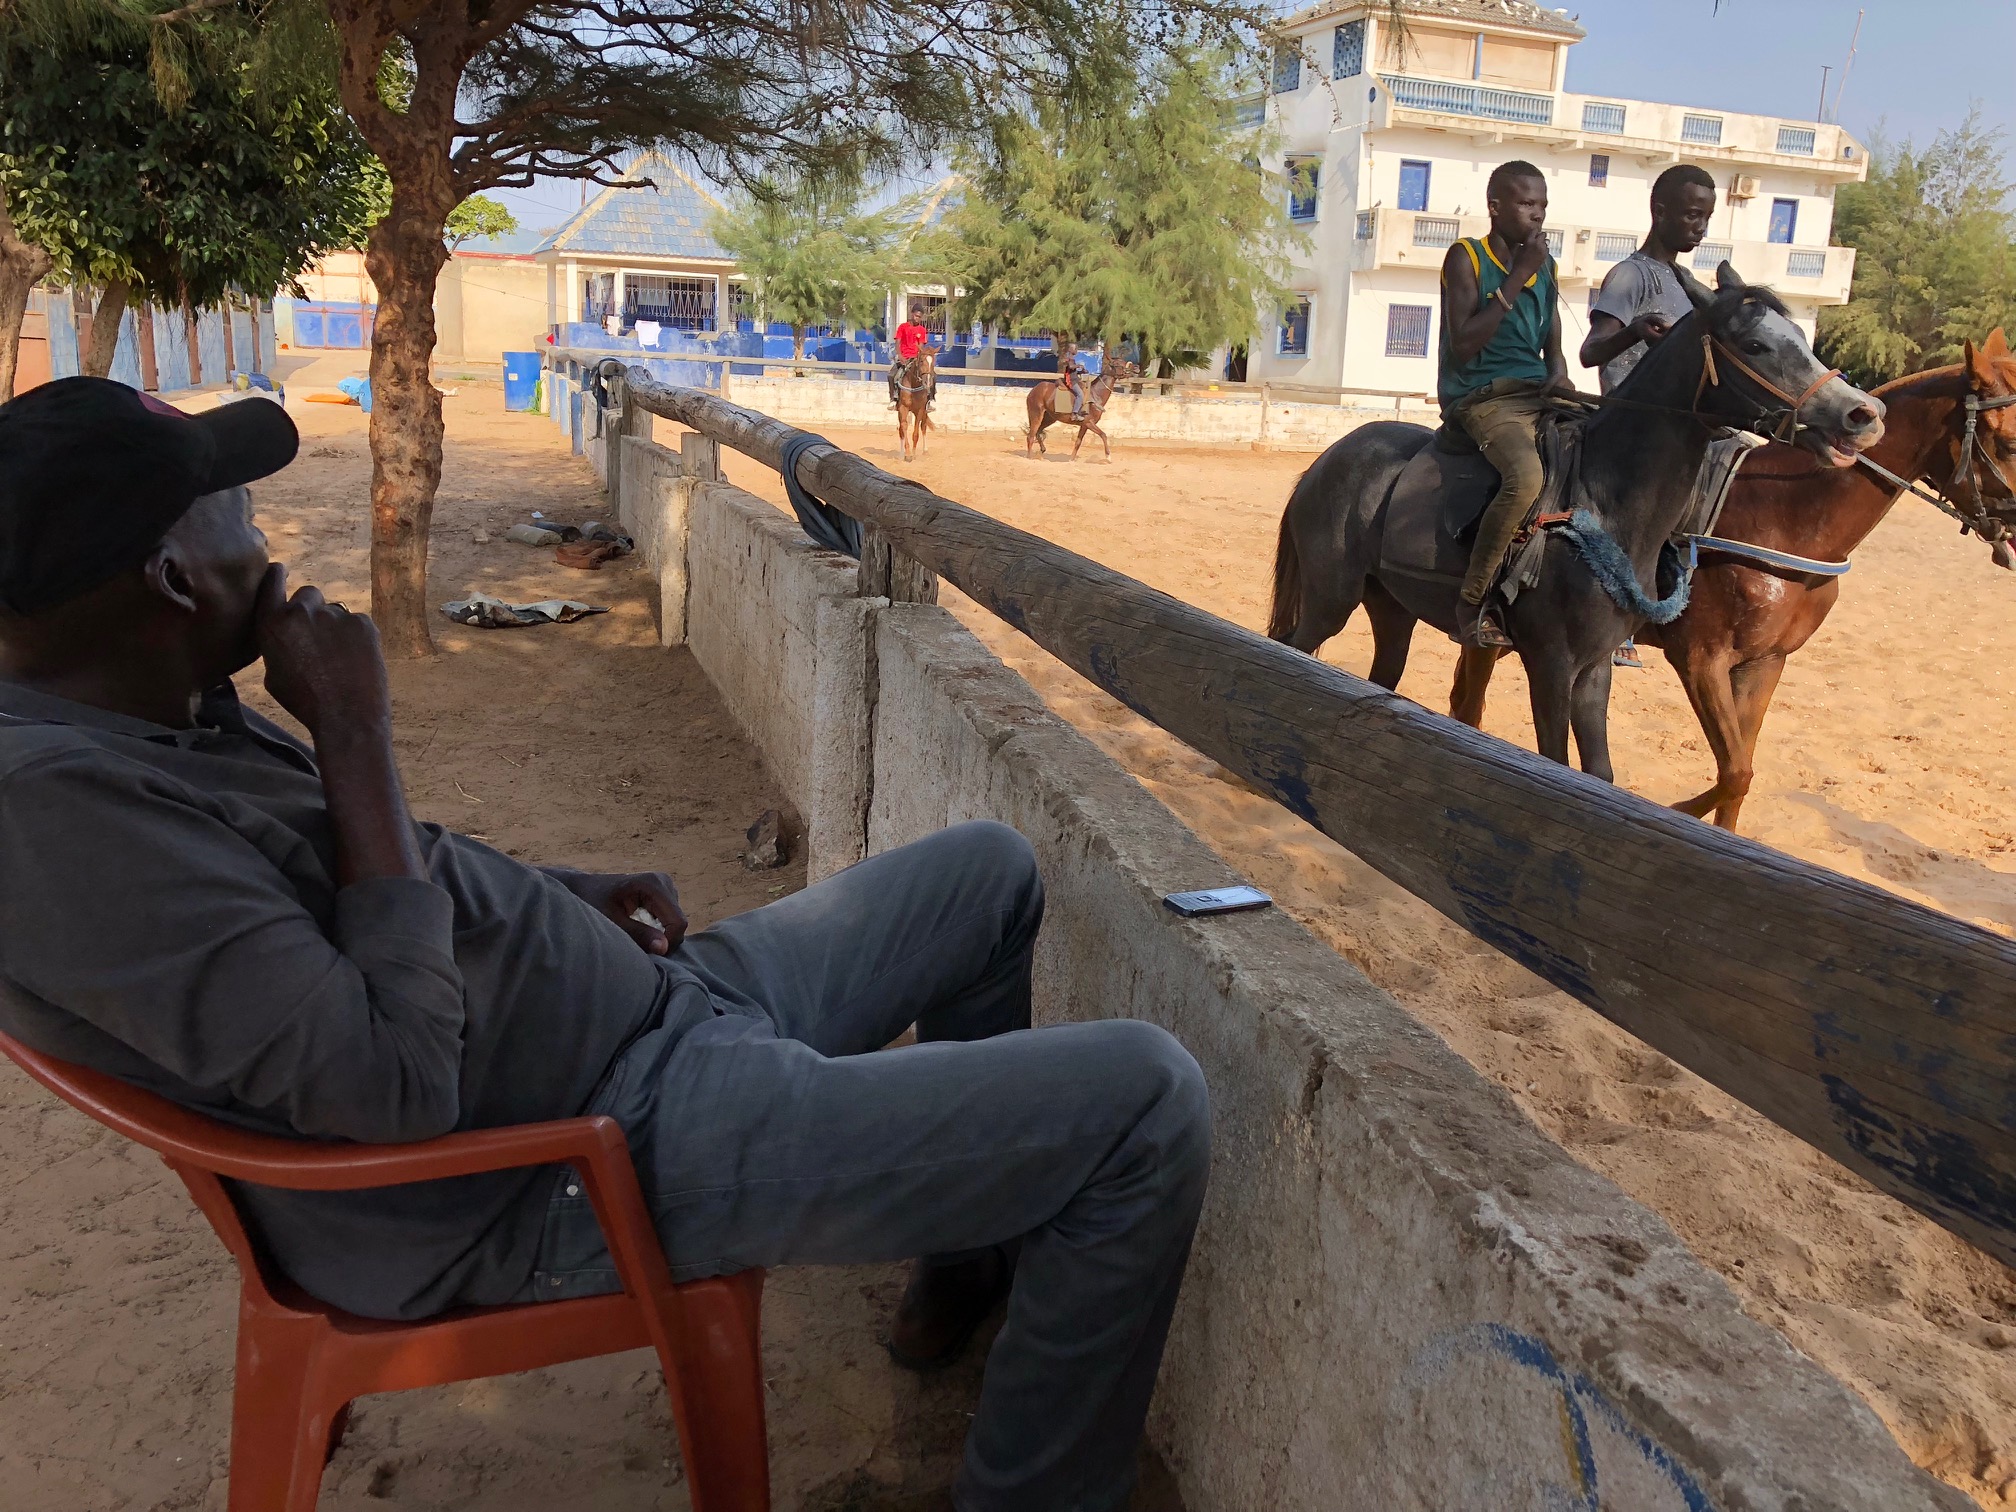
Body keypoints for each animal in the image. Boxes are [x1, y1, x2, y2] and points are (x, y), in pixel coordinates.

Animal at [1266, 264, 1878, 782]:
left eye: (1802, 337)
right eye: (1754, 344)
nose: (1862, 414)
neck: (1605, 501)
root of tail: (1326, 461)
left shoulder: (1595, 667)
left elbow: (1598, 774)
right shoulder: (1552, 664)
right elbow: (1556, 761)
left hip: (1391, 607)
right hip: (1331, 599)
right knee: (1292, 650)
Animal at [1451, 330, 2016, 834]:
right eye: (2008, 441)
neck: (1786, 518)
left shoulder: (1765, 663)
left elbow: (1739, 774)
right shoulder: (1701, 658)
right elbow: (1736, 771)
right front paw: (1677, 811)